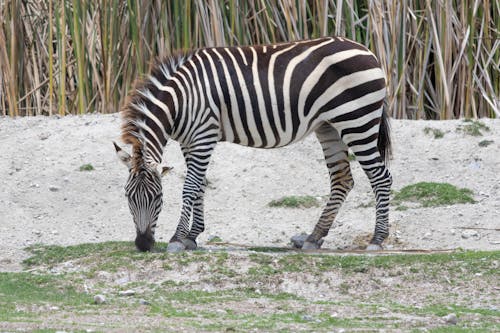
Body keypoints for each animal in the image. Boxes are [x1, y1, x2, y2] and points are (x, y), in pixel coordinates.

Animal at [115, 37, 392, 252]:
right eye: (127, 196)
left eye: (158, 197)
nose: (143, 244)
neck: (181, 100)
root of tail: (367, 50)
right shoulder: (189, 142)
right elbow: (200, 186)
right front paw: (193, 236)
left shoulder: (205, 135)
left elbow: (190, 187)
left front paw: (177, 238)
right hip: (329, 126)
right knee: (342, 180)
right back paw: (314, 238)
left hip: (356, 120)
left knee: (381, 177)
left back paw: (377, 239)